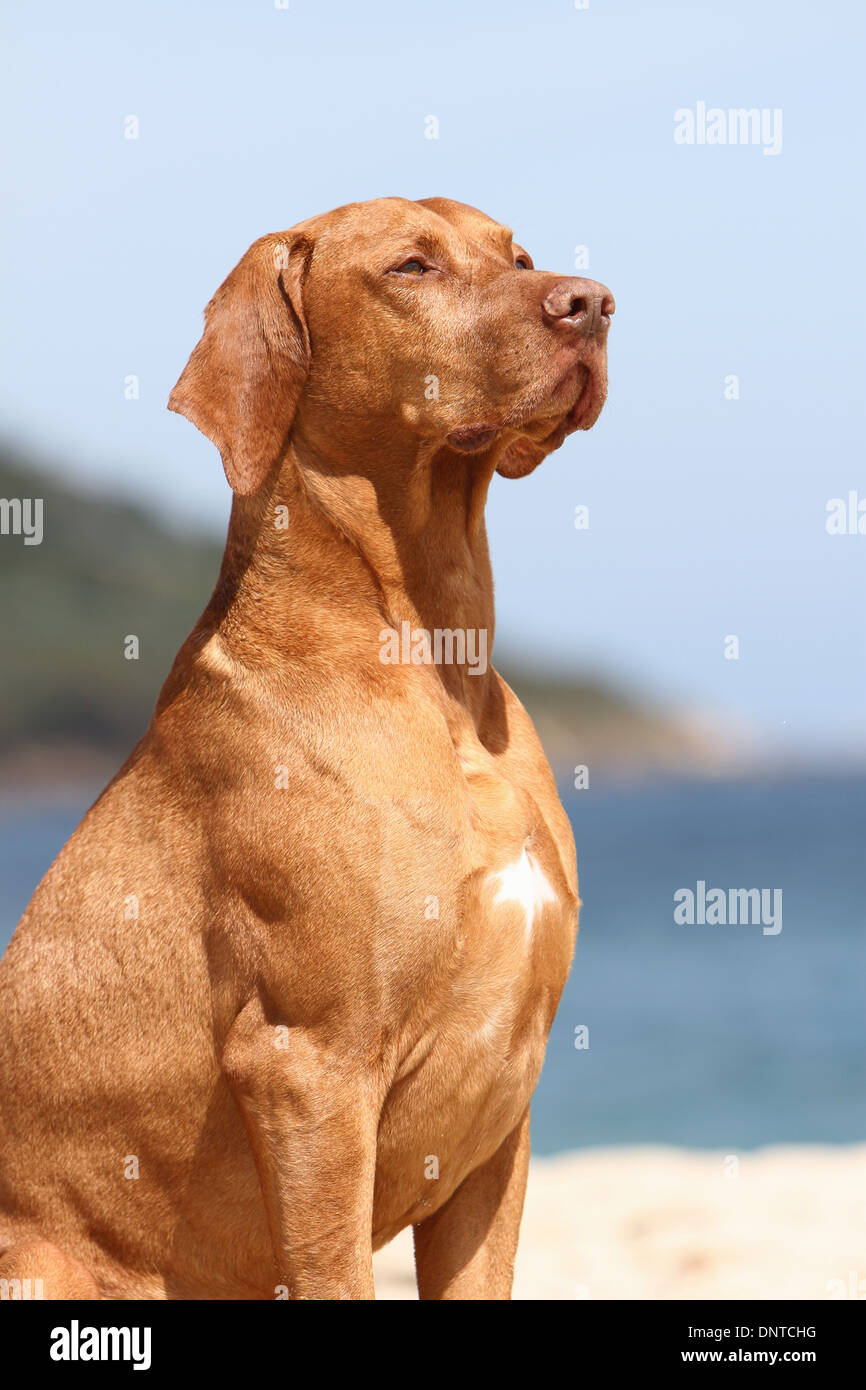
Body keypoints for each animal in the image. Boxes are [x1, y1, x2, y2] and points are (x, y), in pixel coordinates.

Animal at [0, 195, 614, 1301]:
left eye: (520, 257)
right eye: (412, 267)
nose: (592, 303)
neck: (434, 666)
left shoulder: (501, 1104)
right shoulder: (308, 1069)